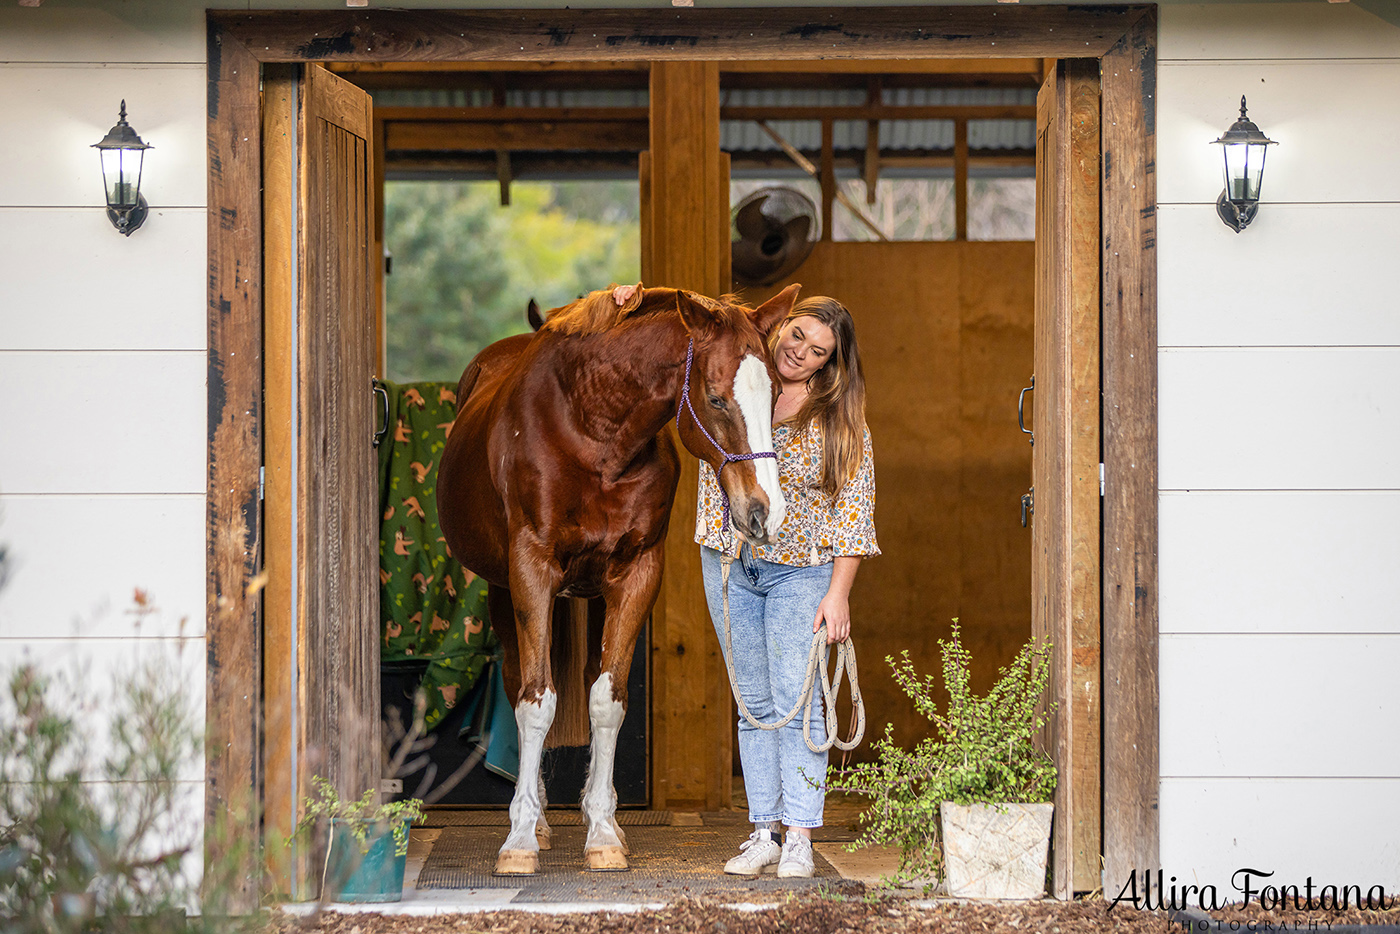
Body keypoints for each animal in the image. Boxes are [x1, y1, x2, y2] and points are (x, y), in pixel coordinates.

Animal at [436, 282, 800, 879]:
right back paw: (536, 820)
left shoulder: (635, 574)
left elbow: (607, 700)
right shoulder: (530, 568)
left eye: (773, 397)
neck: (591, 428)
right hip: (503, 591)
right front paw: (519, 839)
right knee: (517, 683)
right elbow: (537, 702)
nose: (764, 513)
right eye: (716, 399)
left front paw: (604, 833)